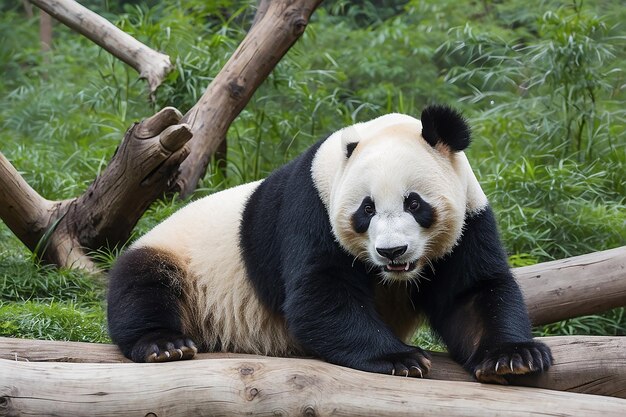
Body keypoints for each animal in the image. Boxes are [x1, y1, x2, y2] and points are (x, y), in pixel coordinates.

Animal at [107, 105, 552, 384]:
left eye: (414, 203)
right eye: (366, 209)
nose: (392, 252)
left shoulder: (470, 215)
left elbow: (472, 292)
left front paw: (513, 357)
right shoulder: (310, 207)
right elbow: (320, 294)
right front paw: (400, 358)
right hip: (174, 255)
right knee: (142, 285)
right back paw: (164, 344)